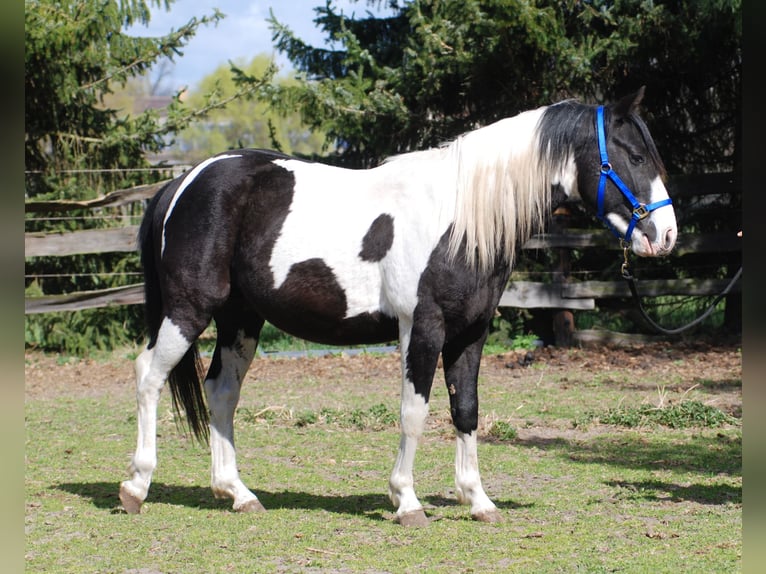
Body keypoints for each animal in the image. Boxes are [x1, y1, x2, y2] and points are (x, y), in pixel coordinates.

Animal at [119, 87, 677, 526]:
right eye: (634, 156)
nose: (666, 235)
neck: (459, 219)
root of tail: (183, 182)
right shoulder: (422, 327)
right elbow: (414, 412)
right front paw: (407, 502)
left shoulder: (470, 333)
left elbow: (466, 409)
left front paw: (478, 500)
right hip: (189, 309)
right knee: (148, 376)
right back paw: (135, 487)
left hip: (240, 319)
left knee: (221, 391)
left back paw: (238, 493)